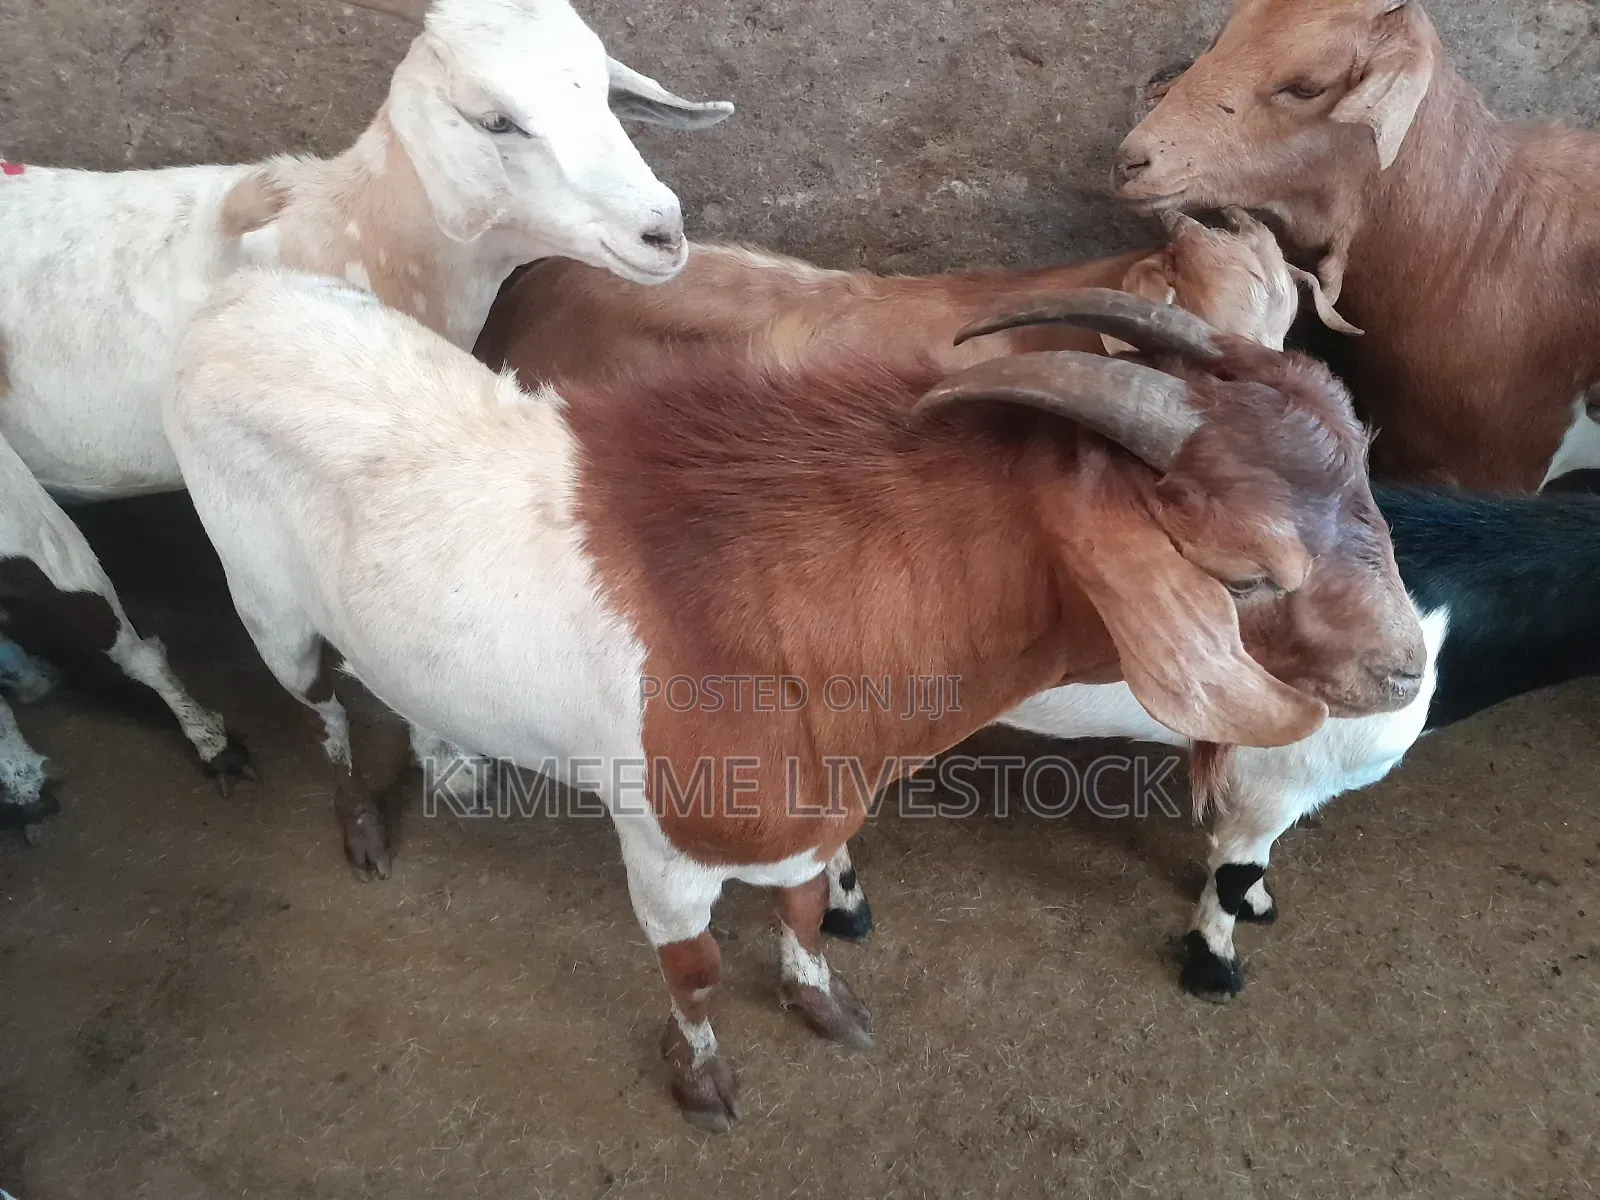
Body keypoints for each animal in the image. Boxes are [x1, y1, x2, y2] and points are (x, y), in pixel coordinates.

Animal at [168, 265, 1421, 1128]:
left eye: (1367, 464)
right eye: (1248, 572)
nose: (1408, 668)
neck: (772, 613)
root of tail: (230, 300)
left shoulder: (818, 813)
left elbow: (809, 912)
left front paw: (826, 1006)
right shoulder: (664, 848)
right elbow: (694, 970)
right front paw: (701, 1080)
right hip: (268, 609)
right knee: (323, 707)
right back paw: (360, 826)